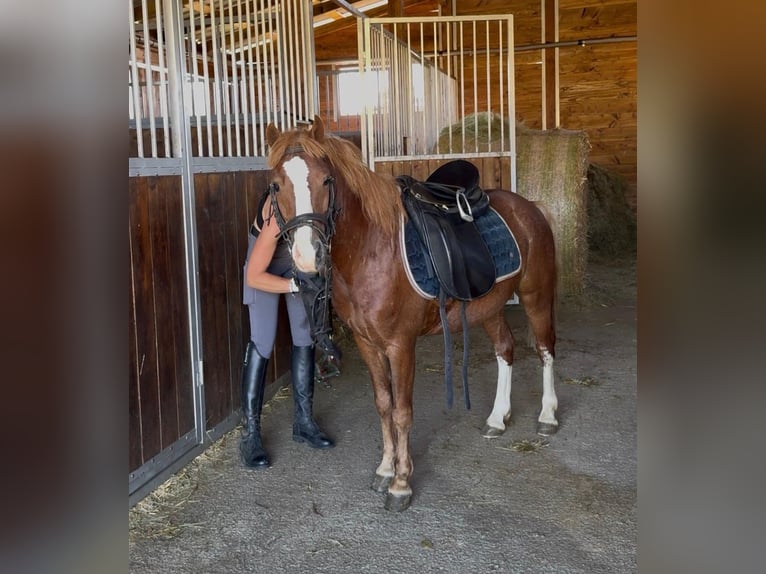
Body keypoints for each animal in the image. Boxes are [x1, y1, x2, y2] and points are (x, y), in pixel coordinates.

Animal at [263, 116, 559, 512]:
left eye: (326, 180)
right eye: (275, 185)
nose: (308, 258)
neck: (370, 251)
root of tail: (530, 206)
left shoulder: (401, 346)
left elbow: (402, 411)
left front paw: (402, 483)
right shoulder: (367, 344)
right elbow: (383, 405)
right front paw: (386, 469)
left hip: (535, 297)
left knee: (545, 349)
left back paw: (548, 416)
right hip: (489, 307)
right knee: (505, 350)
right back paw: (498, 418)